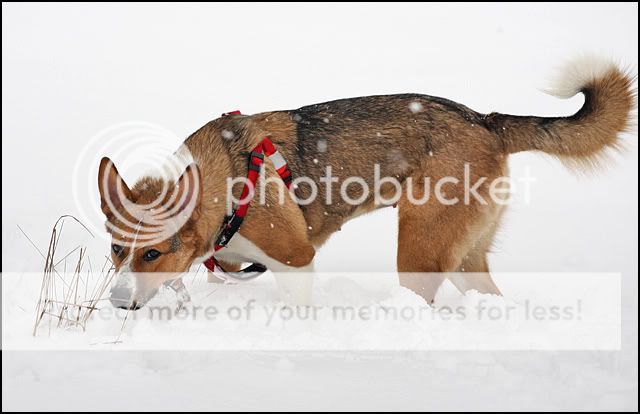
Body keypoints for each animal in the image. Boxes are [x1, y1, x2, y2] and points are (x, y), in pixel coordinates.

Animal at [98, 57, 636, 310]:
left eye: (153, 253)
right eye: (116, 250)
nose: (119, 304)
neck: (227, 180)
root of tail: (485, 120)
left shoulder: (296, 259)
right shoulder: (227, 265)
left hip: (419, 250)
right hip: (465, 256)